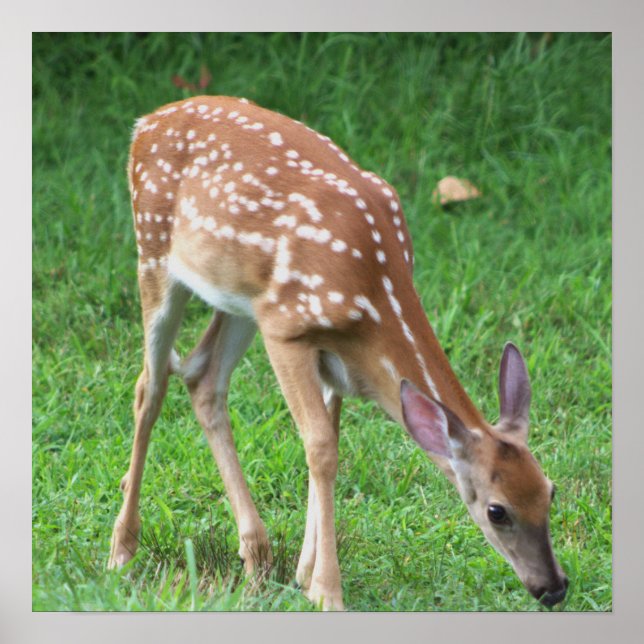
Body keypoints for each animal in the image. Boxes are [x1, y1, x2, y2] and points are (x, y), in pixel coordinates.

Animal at [108, 95, 569, 611]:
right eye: (497, 511)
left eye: (549, 491)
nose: (553, 587)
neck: (374, 296)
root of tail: (147, 122)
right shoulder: (287, 330)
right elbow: (321, 448)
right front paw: (327, 591)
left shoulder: (328, 353)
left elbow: (329, 438)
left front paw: (304, 574)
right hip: (155, 252)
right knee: (149, 387)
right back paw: (122, 549)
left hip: (241, 299)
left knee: (202, 376)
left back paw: (256, 555)